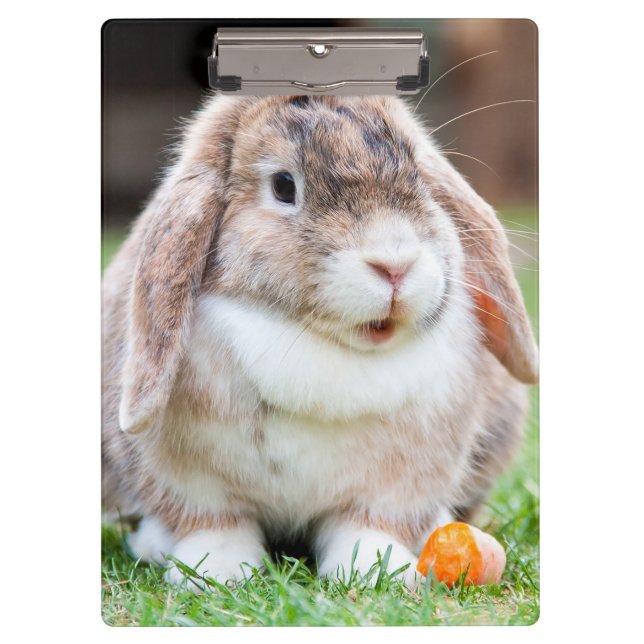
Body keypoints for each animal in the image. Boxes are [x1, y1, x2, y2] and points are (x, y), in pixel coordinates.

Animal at [102, 93, 538, 589]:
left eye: (419, 175)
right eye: (283, 186)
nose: (395, 265)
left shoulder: (394, 487)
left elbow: (367, 526)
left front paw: (376, 571)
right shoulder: (193, 484)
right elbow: (215, 525)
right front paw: (217, 573)